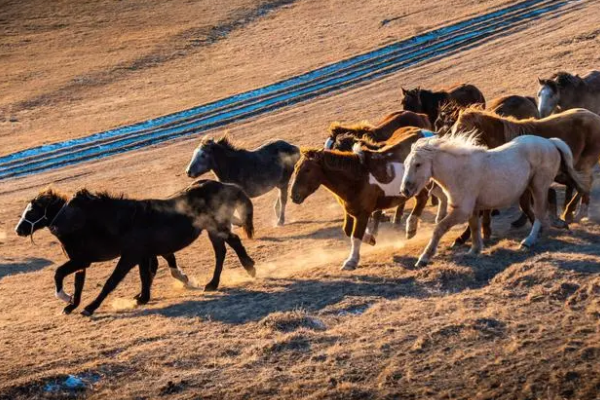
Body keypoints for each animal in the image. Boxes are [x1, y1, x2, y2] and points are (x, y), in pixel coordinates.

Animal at [15, 180, 255, 316]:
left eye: (33, 210)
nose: (19, 230)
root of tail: (223, 186)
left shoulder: (125, 256)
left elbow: (110, 282)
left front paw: (86, 307)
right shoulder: (97, 259)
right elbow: (142, 274)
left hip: (216, 227)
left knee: (227, 246)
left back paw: (239, 273)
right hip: (213, 229)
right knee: (224, 248)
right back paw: (222, 279)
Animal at [400, 133, 588, 268]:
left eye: (418, 164)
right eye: (406, 163)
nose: (404, 190)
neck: (459, 171)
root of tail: (550, 142)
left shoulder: (462, 210)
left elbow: (439, 228)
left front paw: (424, 258)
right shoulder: (473, 208)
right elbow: (474, 227)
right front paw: (475, 250)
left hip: (538, 186)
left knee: (541, 213)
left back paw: (529, 241)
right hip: (533, 187)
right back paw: (558, 223)